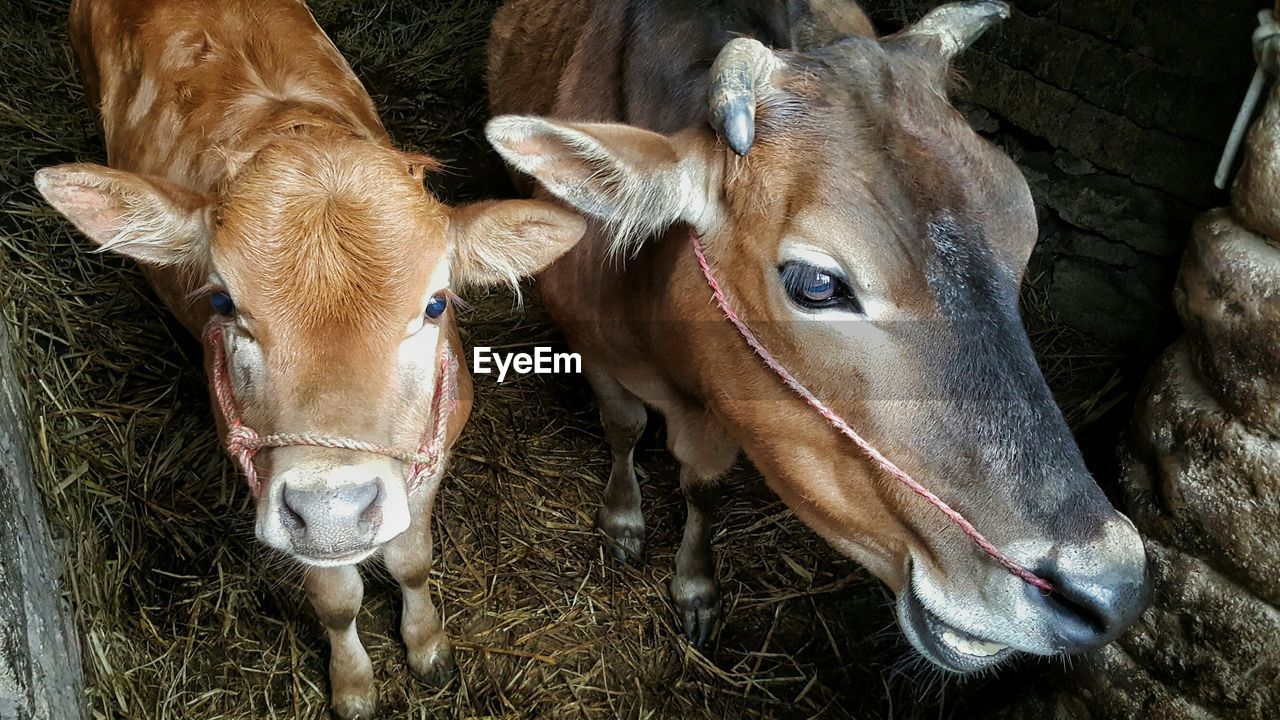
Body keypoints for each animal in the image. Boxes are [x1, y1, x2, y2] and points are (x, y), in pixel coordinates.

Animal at [36, 2, 586, 712]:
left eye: (436, 304)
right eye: (222, 303)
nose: (332, 512)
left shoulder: (434, 451)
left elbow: (412, 559)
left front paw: (428, 644)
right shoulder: (265, 476)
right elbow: (335, 600)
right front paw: (353, 683)